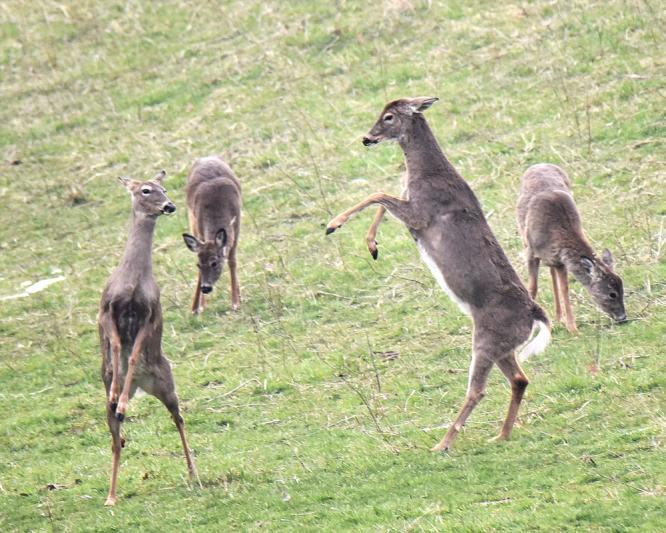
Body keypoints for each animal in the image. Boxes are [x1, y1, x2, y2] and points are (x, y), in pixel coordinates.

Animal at [98, 170, 198, 506]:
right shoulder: (106, 310)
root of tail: (144, 385)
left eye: (163, 188)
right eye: (145, 190)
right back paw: (111, 496)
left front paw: (122, 399)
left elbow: (132, 353)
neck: (132, 281)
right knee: (116, 440)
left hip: (166, 383)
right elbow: (118, 346)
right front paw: (116, 393)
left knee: (178, 418)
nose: (169, 206)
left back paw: (193, 474)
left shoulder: (150, 314)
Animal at [182, 156, 241, 314]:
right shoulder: (199, 226)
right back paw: (195, 306)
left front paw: (236, 302)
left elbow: (232, 261)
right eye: (198, 264)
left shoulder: (237, 225)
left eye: (214, 263)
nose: (206, 288)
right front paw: (199, 306)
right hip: (191, 219)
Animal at [326, 97, 551, 452]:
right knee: (519, 378)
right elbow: (384, 198)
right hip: (503, 345)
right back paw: (500, 434)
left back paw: (443, 443)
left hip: (487, 340)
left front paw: (333, 225)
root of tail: (536, 312)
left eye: (388, 117)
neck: (427, 172)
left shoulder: (422, 213)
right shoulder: (411, 209)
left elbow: (378, 194)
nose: (367, 138)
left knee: (479, 389)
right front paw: (372, 245)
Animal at [517, 163, 627, 333]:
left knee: (552, 274)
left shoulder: (561, 260)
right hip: (524, 235)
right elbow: (532, 288)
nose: (623, 317)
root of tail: (540, 164)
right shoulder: (531, 251)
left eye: (622, 290)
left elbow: (565, 290)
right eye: (612, 294)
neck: (557, 231)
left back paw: (559, 317)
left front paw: (572, 328)